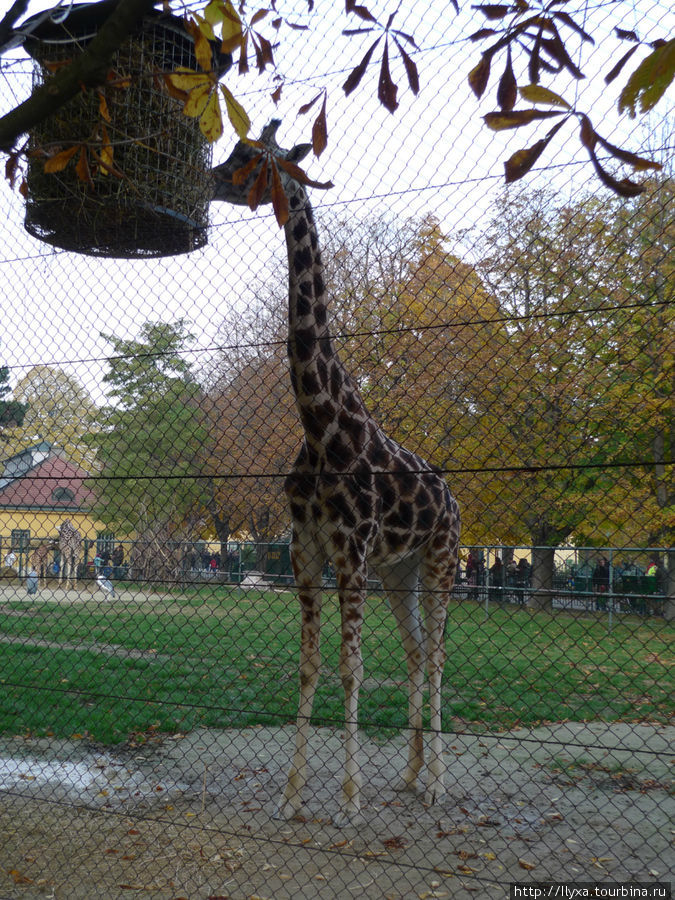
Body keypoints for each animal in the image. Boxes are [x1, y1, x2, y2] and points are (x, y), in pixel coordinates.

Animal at [214, 123, 462, 828]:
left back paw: (438, 784)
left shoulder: (349, 553)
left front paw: (349, 801)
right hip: (399, 570)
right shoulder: (307, 551)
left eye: (252, 158)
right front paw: (290, 794)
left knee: (437, 656)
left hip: (440, 561)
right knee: (415, 652)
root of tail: (454, 499)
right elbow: (310, 665)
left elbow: (352, 669)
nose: (210, 177)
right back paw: (410, 775)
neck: (323, 425)